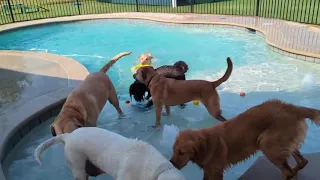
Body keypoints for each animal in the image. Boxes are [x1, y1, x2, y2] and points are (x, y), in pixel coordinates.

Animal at [170, 99, 320, 180]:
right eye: (174, 150)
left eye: (181, 152)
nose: (171, 163)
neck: (207, 144)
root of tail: (292, 107)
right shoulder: (208, 171)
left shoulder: (215, 171)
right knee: (301, 163)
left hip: (267, 144)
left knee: (288, 171)